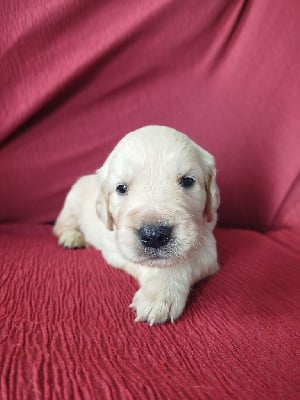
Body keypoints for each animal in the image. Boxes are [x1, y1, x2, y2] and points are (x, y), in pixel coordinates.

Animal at [53, 125, 220, 324]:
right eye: (121, 188)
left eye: (187, 181)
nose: (154, 235)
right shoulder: (115, 247)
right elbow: (143, 262)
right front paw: (158, 293)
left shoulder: (208, 247)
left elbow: (184, 261)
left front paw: (161, 293)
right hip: (71, 204)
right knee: (60, 225)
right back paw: (72, 237)